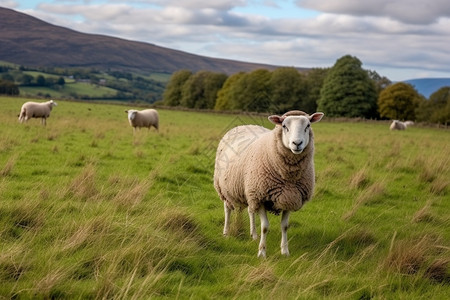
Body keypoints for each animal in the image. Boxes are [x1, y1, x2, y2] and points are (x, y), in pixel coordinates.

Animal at [214, 110, 324, 258]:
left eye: (308, 125)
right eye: (284, 126)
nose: (297, 143)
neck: (288, 178)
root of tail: (244, 125)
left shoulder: (289, 197)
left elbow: (285, 226)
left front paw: (285, 251)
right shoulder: (260, 197)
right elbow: (265, 227)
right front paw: (262, 252)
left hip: (250, 190)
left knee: (250, 211)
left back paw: (254, 235)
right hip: (225, 189)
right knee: (227, 209)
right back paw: (226, 232)